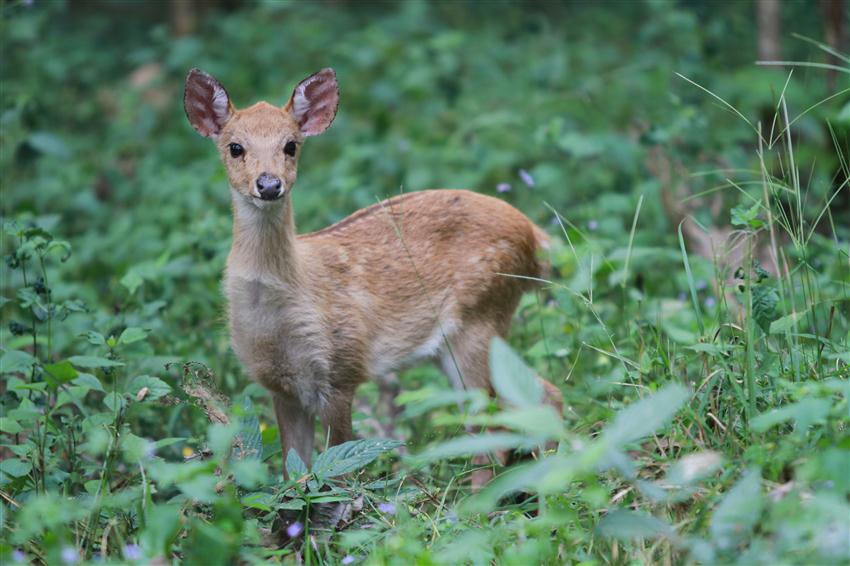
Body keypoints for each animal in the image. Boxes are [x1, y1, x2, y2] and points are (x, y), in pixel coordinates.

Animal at [182, 65, 560, 484]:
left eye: (291, 145)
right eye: (235, 147)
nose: (268, 184)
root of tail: (534, 236)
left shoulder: (341, 369)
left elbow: (339, 473)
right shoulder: (281, 388)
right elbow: (295, 475)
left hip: (481, 318)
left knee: (493, 429)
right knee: (540, 395)